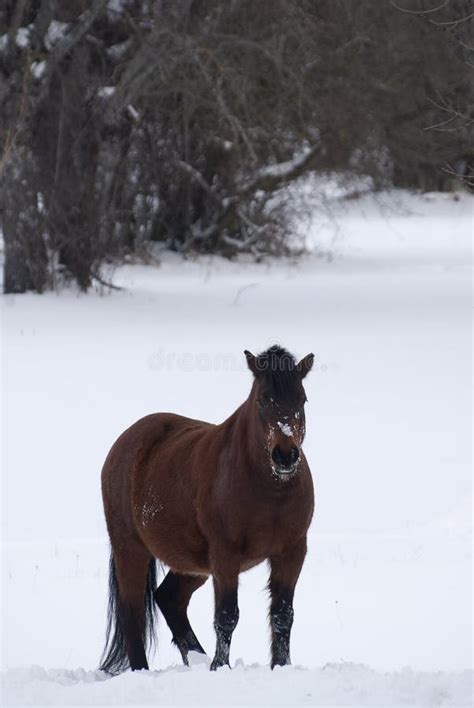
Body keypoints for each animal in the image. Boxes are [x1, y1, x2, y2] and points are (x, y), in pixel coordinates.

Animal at [100, 346, 314, 672]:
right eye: (262, 399)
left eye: (301, 399)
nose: (285, 455)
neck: (270, 491)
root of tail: (123, 443)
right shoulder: (225, 555)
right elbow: (226, 616)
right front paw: (219, 667)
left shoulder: (291, 552)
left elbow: (282, 615)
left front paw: (281, 666)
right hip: (131, 550)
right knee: (132, 613)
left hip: (193, 563)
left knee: (169, 598)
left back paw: (195, 657)